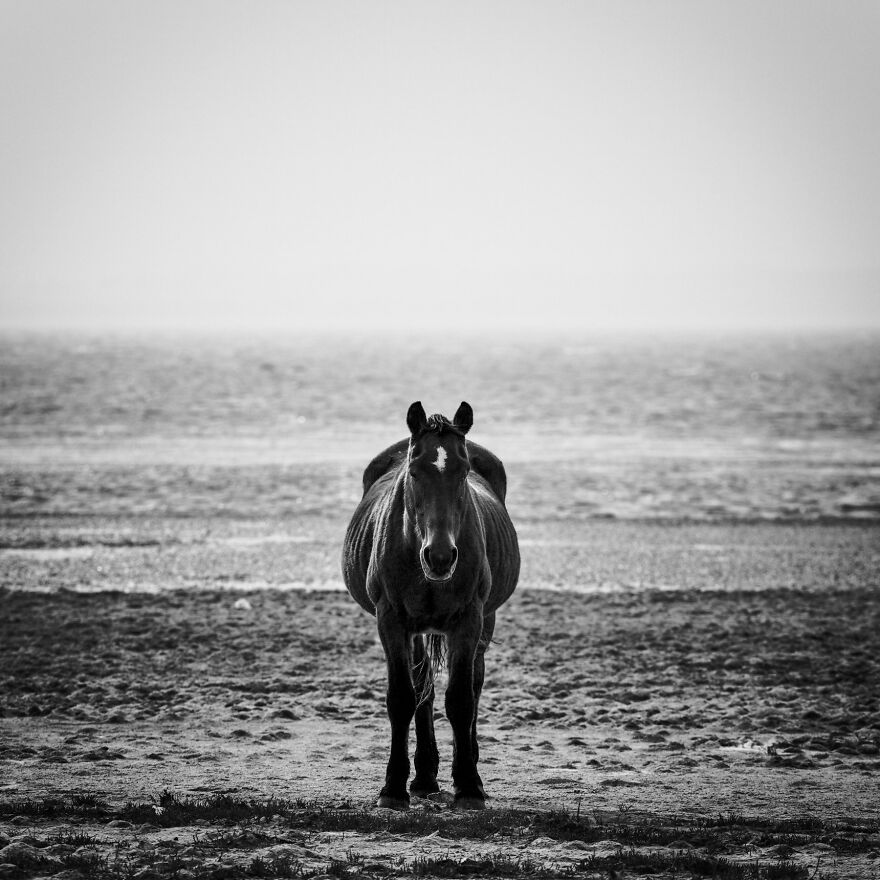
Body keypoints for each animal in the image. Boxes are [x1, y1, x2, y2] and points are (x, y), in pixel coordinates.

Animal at [342, 401, 520, 809]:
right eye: (414, 470)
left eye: (464, 470)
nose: (439, 557)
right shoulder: (392, 621)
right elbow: (402, 698)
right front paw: (393, 787)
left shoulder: (469, 620)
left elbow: (461, 699)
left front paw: (469, 786)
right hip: (418, 629)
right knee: (423, 685)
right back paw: (423, 777)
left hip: (485, 619)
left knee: (474, 682)